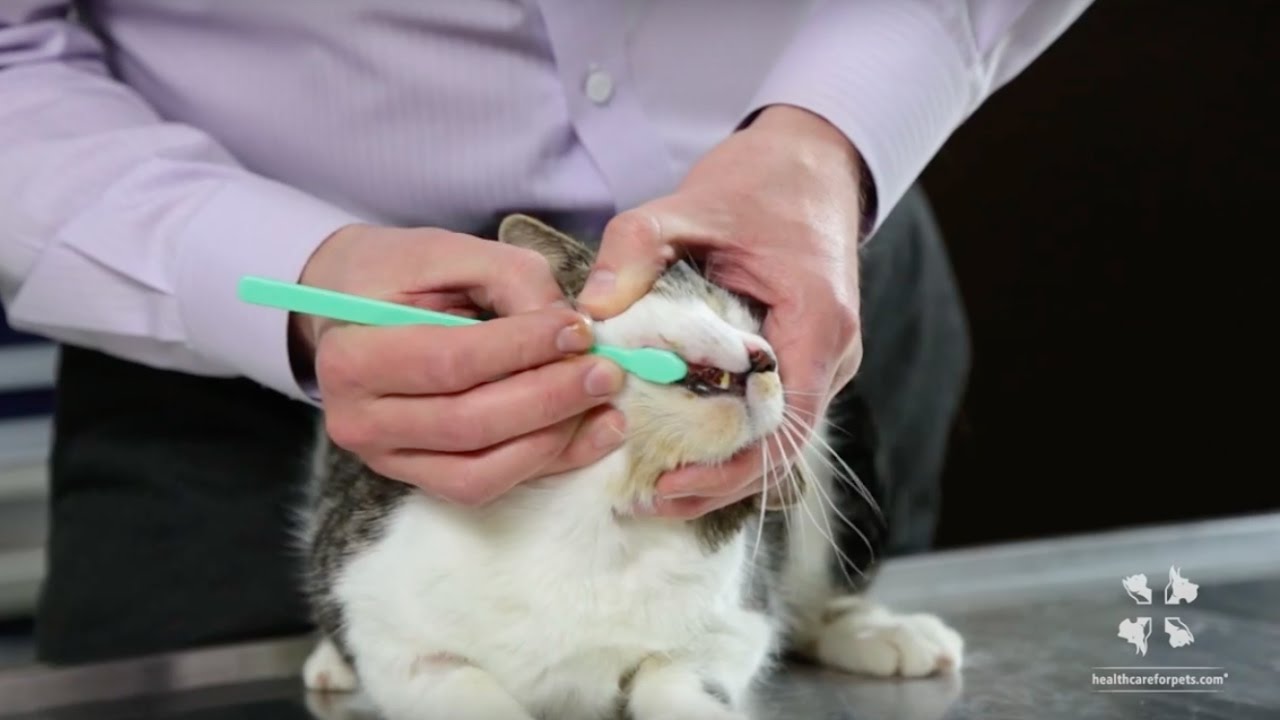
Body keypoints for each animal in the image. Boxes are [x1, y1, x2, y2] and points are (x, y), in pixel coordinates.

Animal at [296, 212, 962, 717]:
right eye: (711, 304)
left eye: (762, 329)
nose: (767, 356)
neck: (592, 513)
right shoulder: (386, 631)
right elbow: (460, 685)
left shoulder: (734, 624)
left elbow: (678, 678)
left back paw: (886, 633)